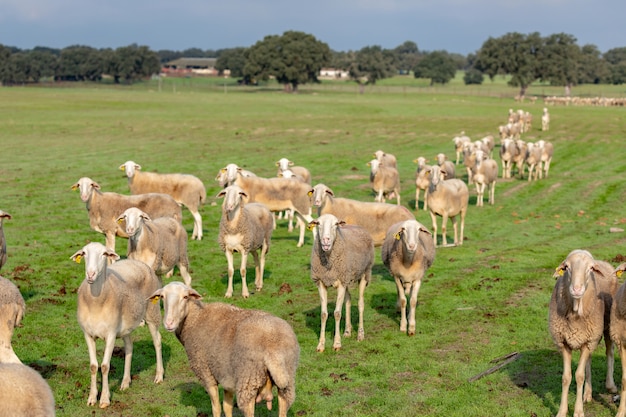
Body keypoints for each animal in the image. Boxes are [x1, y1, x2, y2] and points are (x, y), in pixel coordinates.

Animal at [70, 240, 163, 406]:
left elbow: (105, 366)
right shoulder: (87, 334)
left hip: (152, 311)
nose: (90, 274)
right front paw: (92, 397)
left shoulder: (111, 334)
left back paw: (159, 376)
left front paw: (104, 399)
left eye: (104, 254)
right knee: (129, 347)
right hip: (126, 326)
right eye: (84, 253)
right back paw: (125, 382)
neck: (96, 302)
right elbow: (93, 366)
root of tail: (139, 263)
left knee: (157, 341)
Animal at [149, 282, 300, 416]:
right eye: (162, 296)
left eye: (185, 297)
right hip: (287, 379)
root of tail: (273, 349)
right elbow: (227, 407)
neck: (194, 318)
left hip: (248, 379)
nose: (169, 323)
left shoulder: (206, 372)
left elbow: (216, 408)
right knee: (284, 406)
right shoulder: (227, 377)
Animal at [310, 211, 372, 352]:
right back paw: (347, 331)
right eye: (318, 223)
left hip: (364, 273)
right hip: (347, 277)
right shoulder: (321, 282)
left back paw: (360, 334)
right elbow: (324, 314)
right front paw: (321, 345)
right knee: (348, 302)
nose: (325, 240)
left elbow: (337, 313)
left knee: (360, 304)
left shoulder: (341, 283)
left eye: (335, 224)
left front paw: (337, 343)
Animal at [544, 249, 616, 416]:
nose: (576, 290)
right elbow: (566, 377)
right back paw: (587, 394)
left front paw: (578, 411)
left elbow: (579, 376)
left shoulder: (589, 340)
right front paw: (562, 411)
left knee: (609, 352)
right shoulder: (564, 342)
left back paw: (610, 385)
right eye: (567, 267)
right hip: (589, 339)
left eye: (590, 269)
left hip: (607, 325)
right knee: (588, 360)